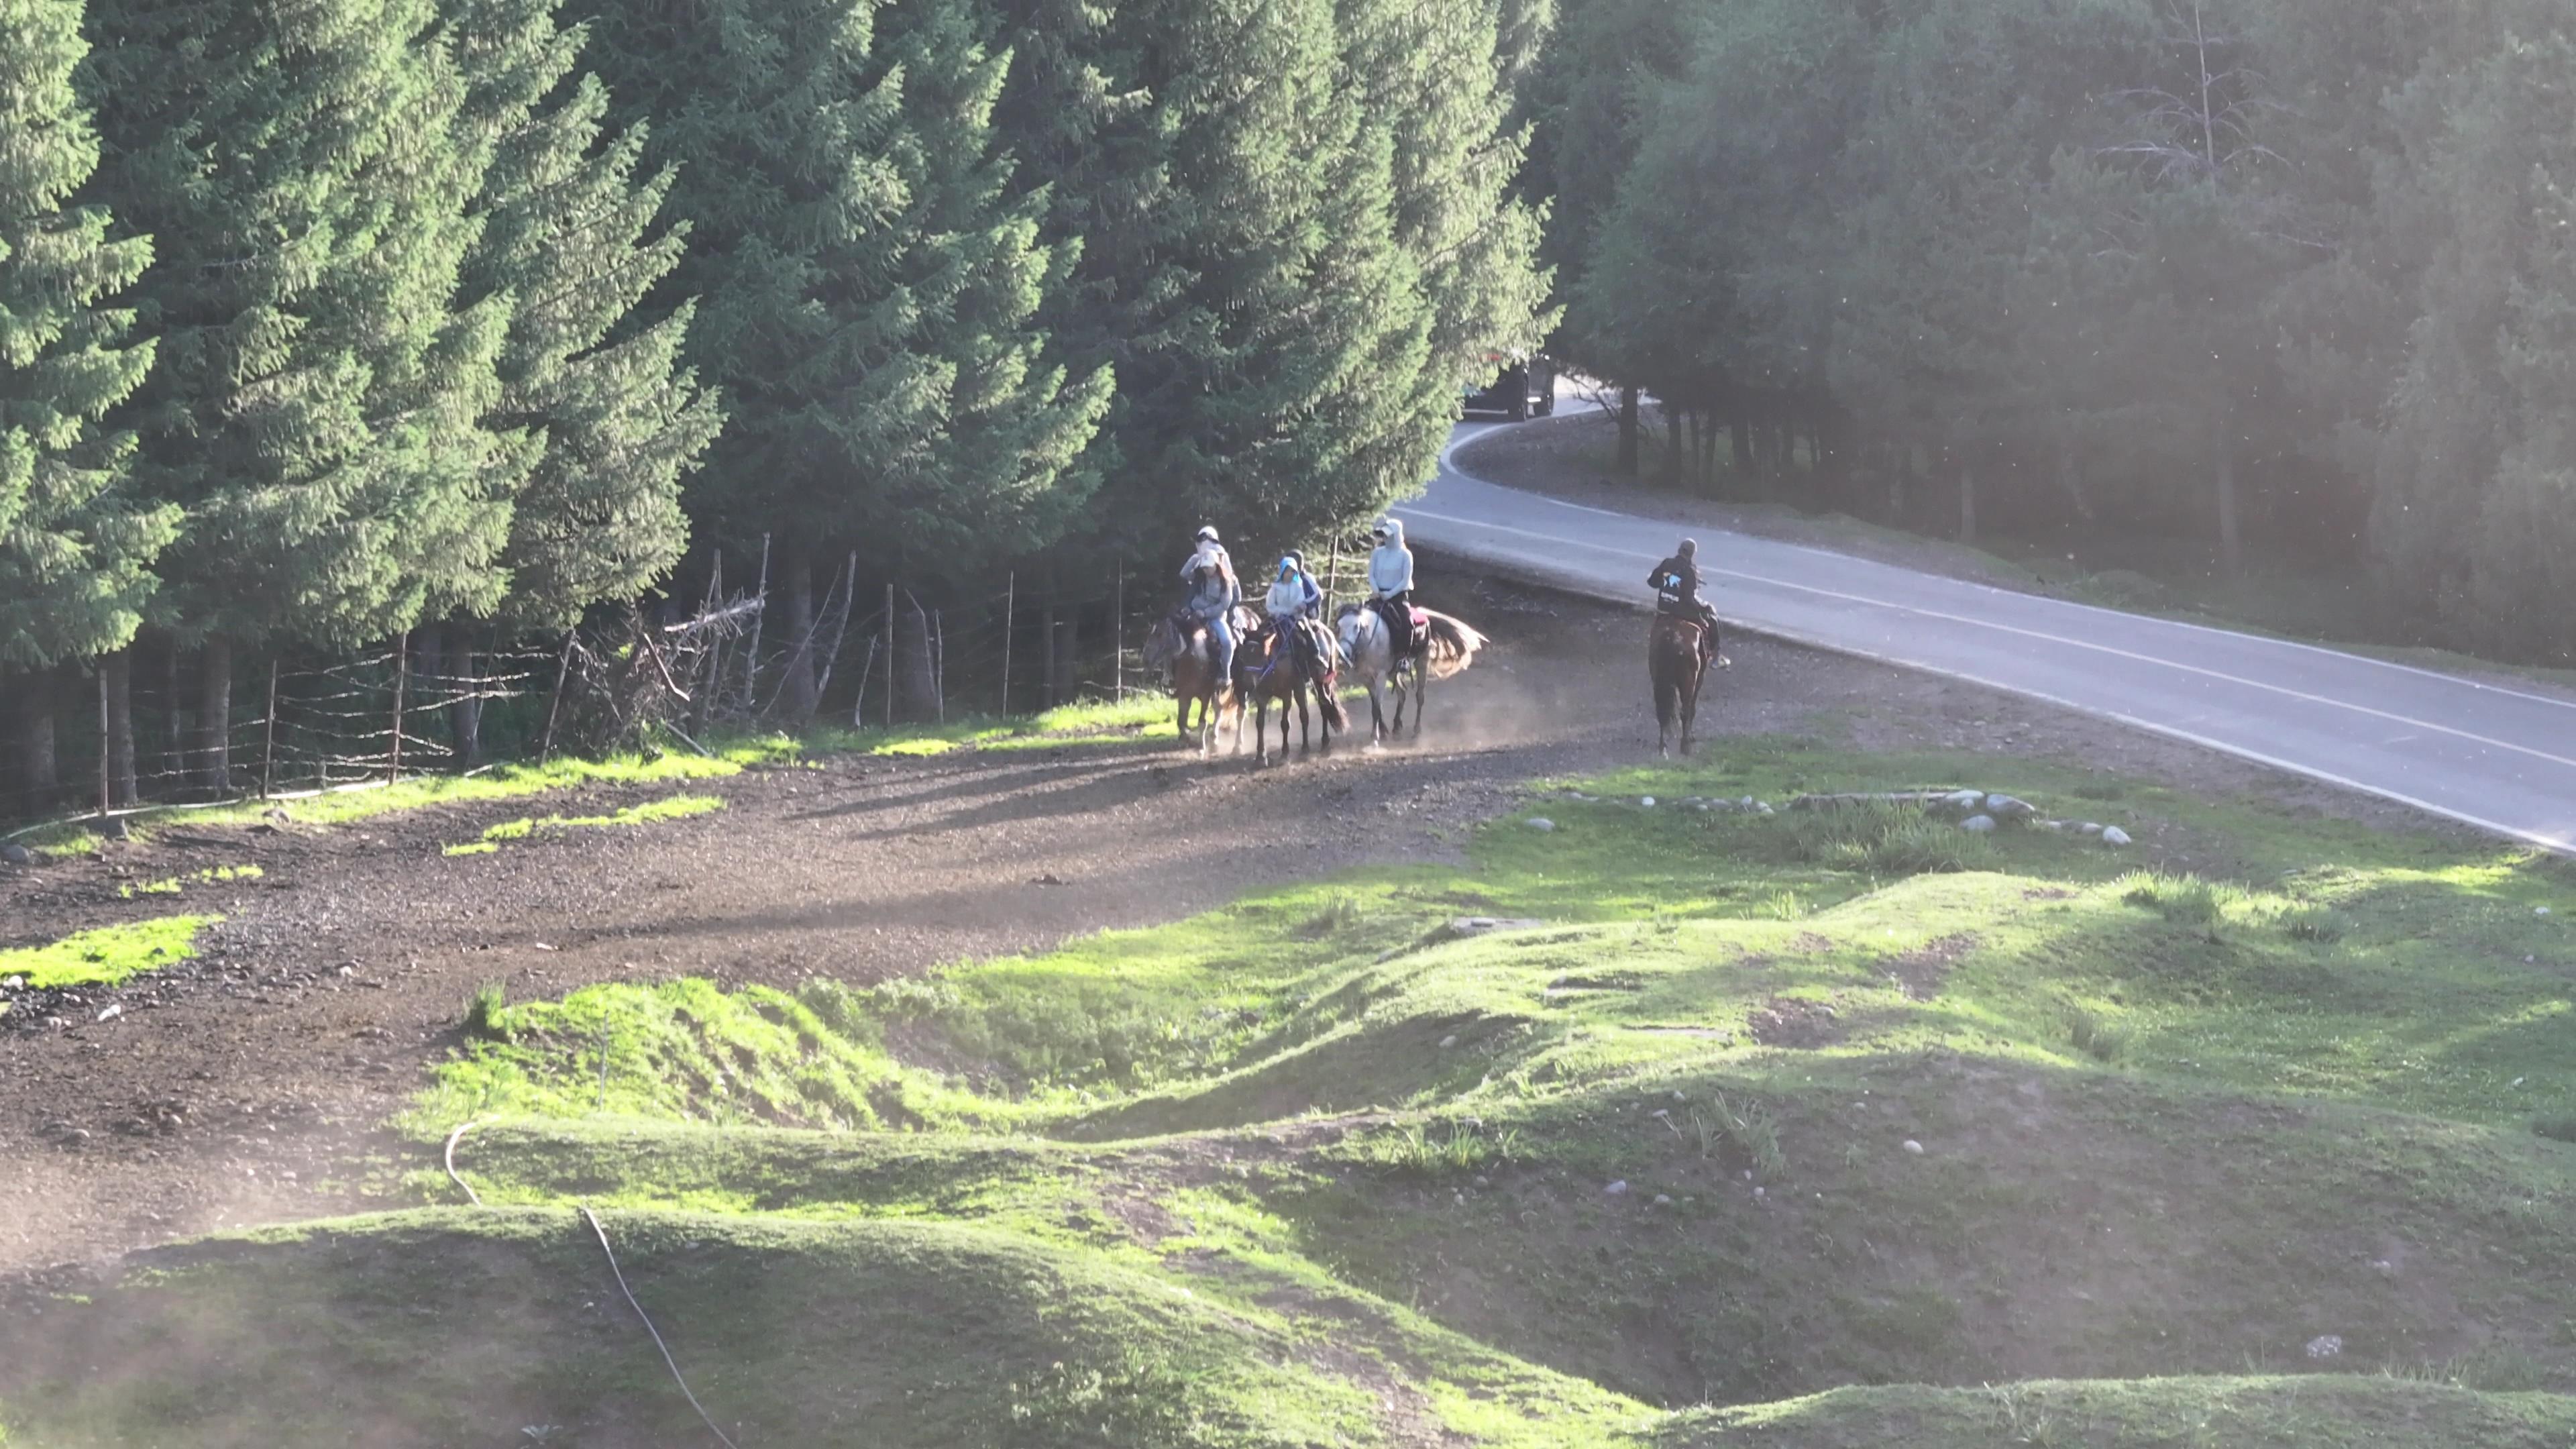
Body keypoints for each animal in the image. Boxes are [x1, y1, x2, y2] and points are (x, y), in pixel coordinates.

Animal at [1226, 613, 1350, 763]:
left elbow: (1287, 723)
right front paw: (1261, 756)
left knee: (1323, 706)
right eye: (1243, 656)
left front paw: (1288, 752)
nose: (1248, 684)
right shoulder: (1262, 695)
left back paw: (1323, 743)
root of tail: (1328, 633)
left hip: (1320, 682)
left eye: (1261, 655)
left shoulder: (1288, 693)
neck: (1274, 663)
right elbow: (1260, 723)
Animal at [1339, 600, 1483, 742]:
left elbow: (1376, 708)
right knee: (1402, 692)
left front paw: (1375, 737)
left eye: (1357, 627)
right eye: (1339, 626)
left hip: (1422, 664)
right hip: (1393, 672)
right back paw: (1397, 728)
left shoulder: (1381, 676)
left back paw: (1416, 731)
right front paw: (1383, 731)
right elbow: (1376, 705)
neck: (1371, 641)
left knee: (1420, 697)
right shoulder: (1366, 679)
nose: (1344, 653)